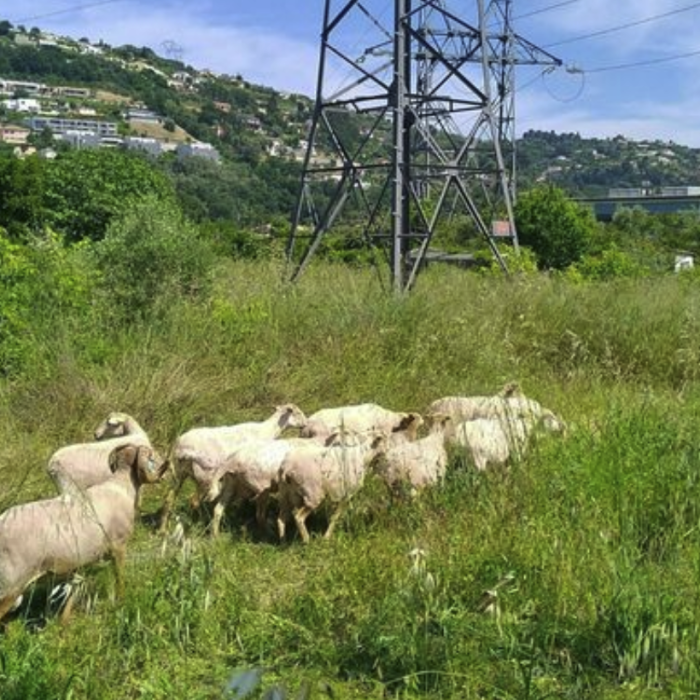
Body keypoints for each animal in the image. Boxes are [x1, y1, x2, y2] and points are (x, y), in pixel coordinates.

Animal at [0, 446, 165, 620]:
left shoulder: (82, 561)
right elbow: (119, 578)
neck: (122, 486)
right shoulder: (119, 545)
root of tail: (3, 521)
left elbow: (74, 591)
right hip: (12, 583)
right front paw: (121, 601)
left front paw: (65, 620)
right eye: (150, 457)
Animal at [161, 402, 308, 532]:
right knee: (194, 501)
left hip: (179, 474)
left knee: (169, 499)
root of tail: (181, 446)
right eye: (298, 412)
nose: (306, 424)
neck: (267, 430)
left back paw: (163, 529)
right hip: (205, 476)